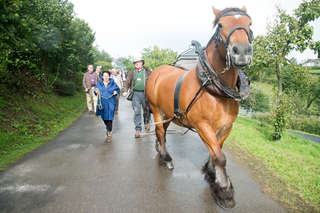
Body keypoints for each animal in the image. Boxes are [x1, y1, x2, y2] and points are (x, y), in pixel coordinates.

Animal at [146, 6, 254, 208]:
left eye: (249, 23)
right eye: (220, 25)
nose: (242, 51)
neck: (214, 87)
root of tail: (157, 70)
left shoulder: (226, 127)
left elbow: (216, 152)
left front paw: (212, 176)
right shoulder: (202, 125)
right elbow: (220, 157)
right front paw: (225, 191)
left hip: (168, 113)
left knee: (162, 131)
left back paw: (159, 149)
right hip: (156, 109)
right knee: (160, 131)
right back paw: (166, 158)